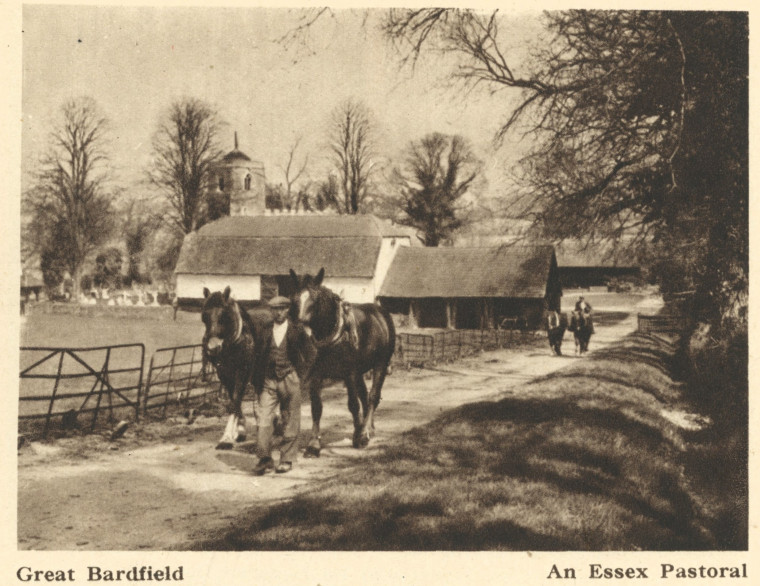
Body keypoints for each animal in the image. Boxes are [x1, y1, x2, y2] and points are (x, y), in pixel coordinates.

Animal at [202, 286, 274, 448]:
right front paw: (240, 430)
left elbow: (236, 398)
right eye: (205, 315)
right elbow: (233, 398)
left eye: (224, 314)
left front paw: (226, 437)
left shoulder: (242, 371)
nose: (213, 348)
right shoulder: (224, 374)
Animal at [290, 266, 398, 454]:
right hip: (360, 371)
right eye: (295, 298)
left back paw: (365, 431)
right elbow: (316, 408)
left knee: (372, 396)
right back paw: (368, 428)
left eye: (315, 300)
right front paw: (314, 443)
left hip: (380, 364)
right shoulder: (316, 375)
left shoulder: (349, 374)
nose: (300, 330)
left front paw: (358, 437)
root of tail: (381, 313)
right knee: (364, 396)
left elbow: (353, 404)